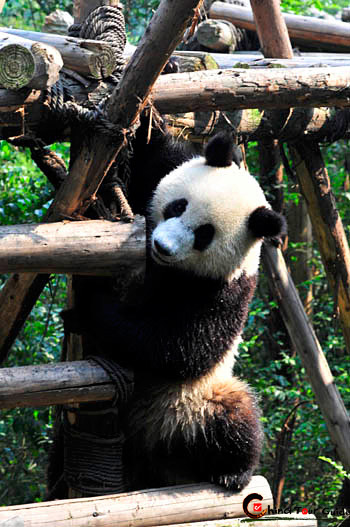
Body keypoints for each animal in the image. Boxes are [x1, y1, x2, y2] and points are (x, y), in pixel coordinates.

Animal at [65, 129, 284, 496]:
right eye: (177, 206)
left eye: (204, 235)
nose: (161, 246)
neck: (166, 268)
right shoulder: (161, 172)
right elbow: (156, 156)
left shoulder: (222, 291)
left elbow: (179, 348)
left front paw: (89, 307)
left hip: (195, 404)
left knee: (236, 418)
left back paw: (231, 472)